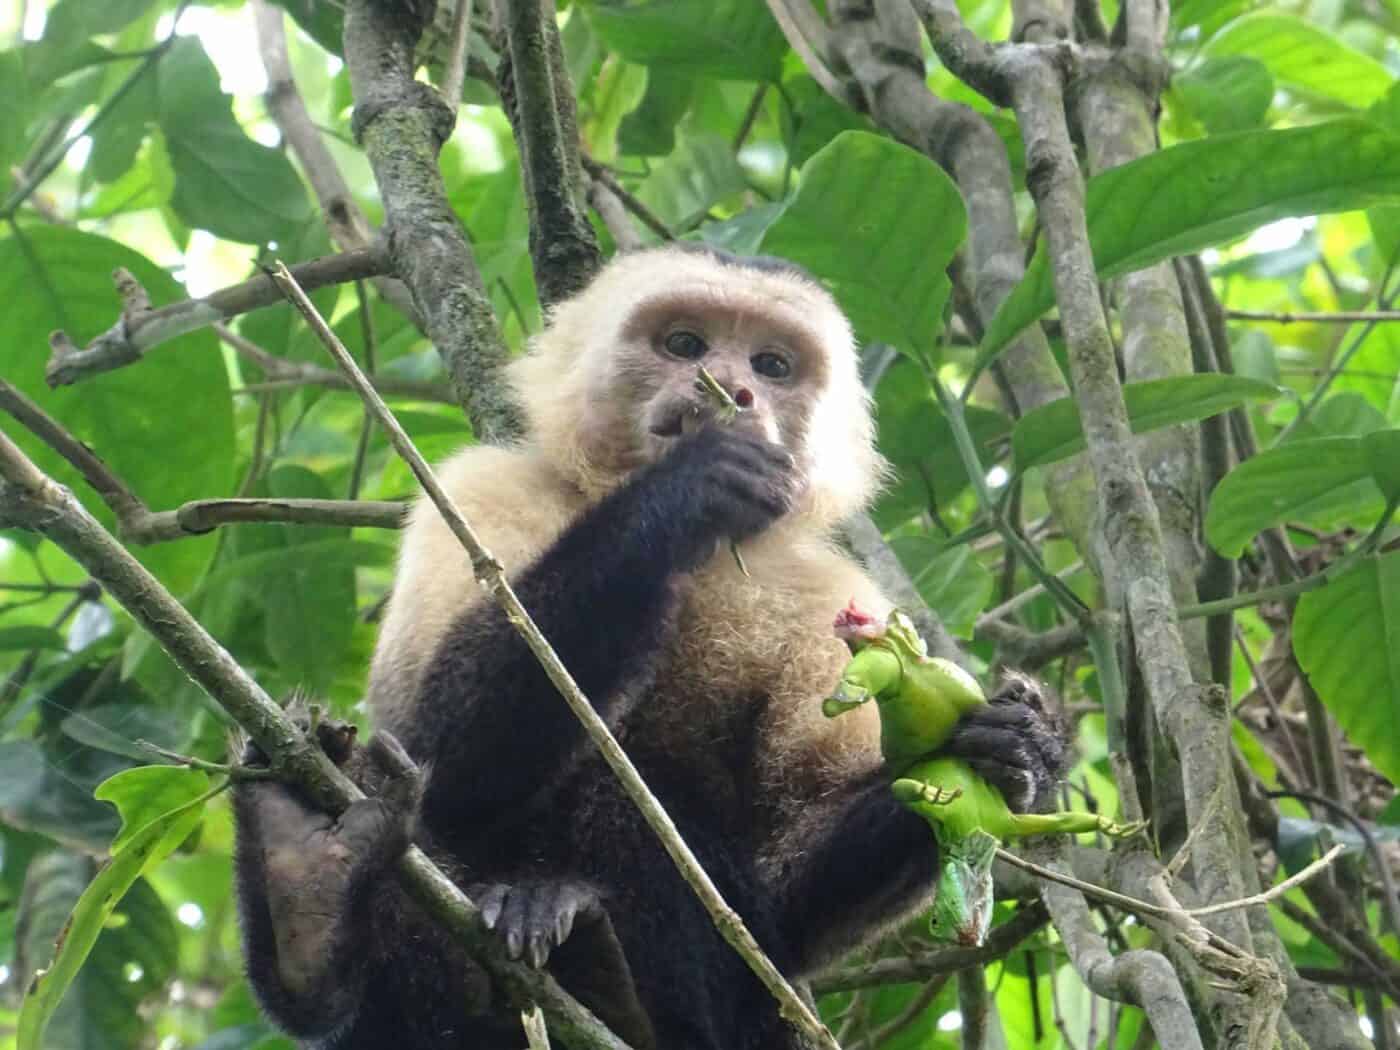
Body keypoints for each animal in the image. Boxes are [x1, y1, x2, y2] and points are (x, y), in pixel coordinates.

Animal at [233, 244, 1065, 1049]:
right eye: (684, 344)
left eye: (772, 365)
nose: (733, 390)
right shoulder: (481, 486)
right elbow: (434, 759)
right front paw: (687, 489)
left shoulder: (832, 591)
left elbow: (780, 917)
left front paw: (1005, 747)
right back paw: (308, 893)